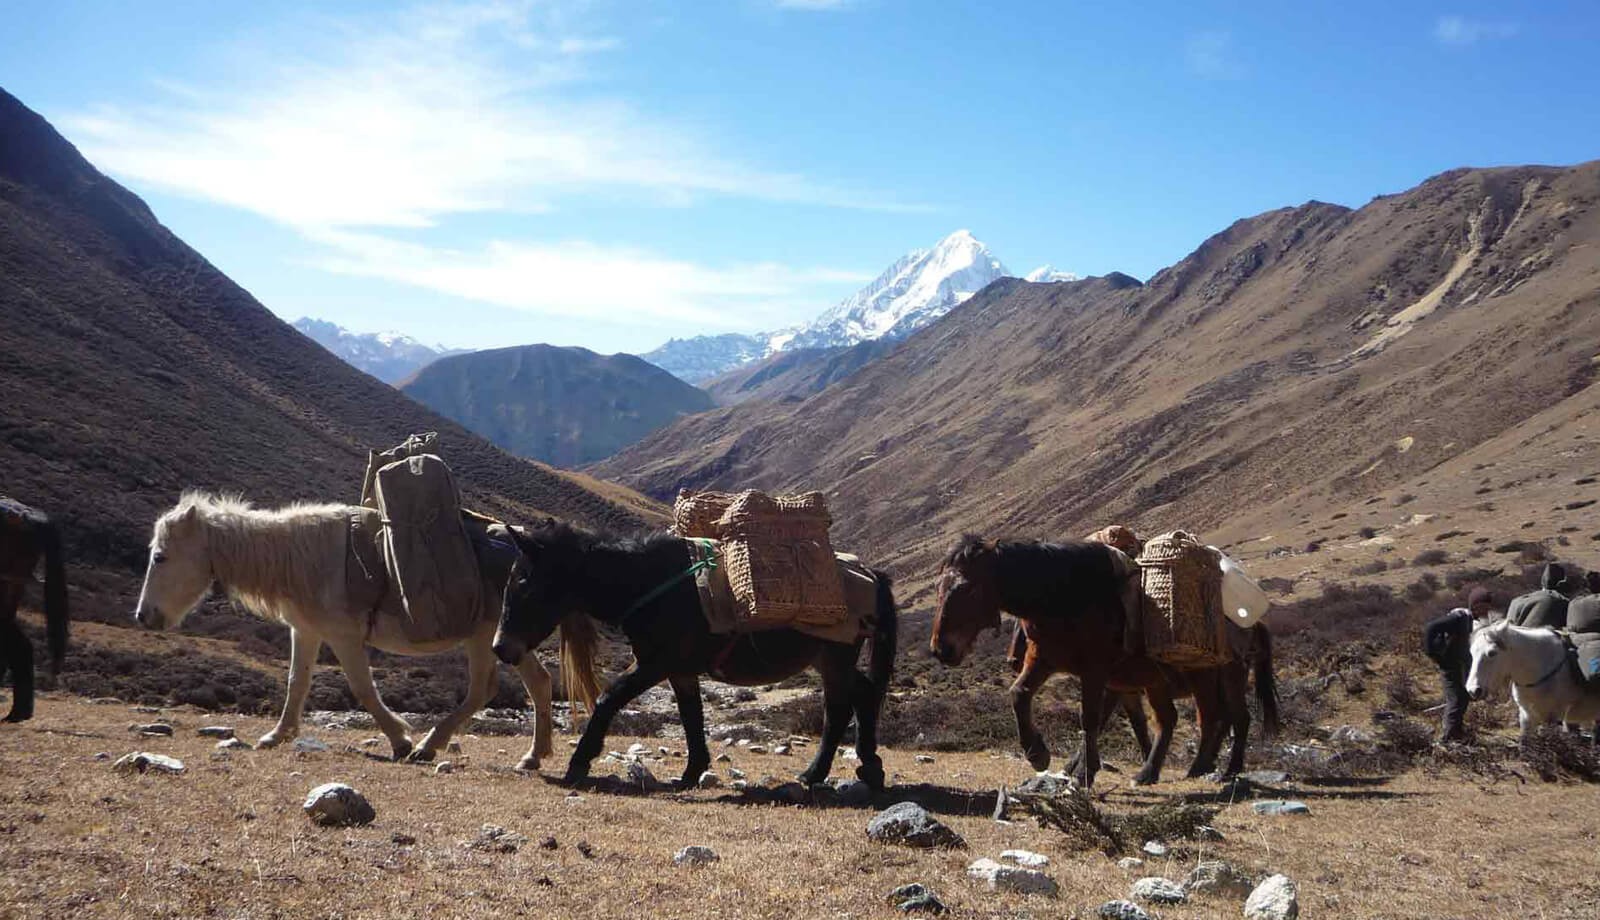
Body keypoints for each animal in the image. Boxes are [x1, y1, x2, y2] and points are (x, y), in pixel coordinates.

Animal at [133, 491, 596, 766]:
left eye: (160, 557)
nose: (143, 617)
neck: (300, 558)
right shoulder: (306, 632)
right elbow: (296, 684)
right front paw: (277, 735)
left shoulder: (344, 637)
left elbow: (363, 689)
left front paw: (401, 740)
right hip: (504, 638)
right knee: (538, 682)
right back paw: (533, 754)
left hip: (484, 637)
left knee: (484, 689)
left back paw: (429, 745)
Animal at [492, 521, 899, 791]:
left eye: (524, 584)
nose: (500, 648)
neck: (649, 583)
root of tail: (870, 573)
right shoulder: (679, 670)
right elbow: (691, 717)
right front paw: (690, 773)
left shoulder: (655, 664)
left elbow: (609, 699)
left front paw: (579, 764)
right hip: (828, 658)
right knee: (863, 695)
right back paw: (869, 768)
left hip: (835, 656)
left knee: (838, 710)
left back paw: (813, 775)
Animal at [932, 535, 1275, 787]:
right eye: (939, 587)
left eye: (968, 588)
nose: (941, 649)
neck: (1066, 597)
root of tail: (1250, 624)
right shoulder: (1043, 660)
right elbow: (1019, 694)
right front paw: (1038, 755)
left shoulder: (1095, 672)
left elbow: (1090, 719)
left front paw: (1084, 772)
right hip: (1160, 681)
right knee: (1173, 720)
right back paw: (1150, 773)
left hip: (1212, 674)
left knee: (1225, 718)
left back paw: (1217, 769)